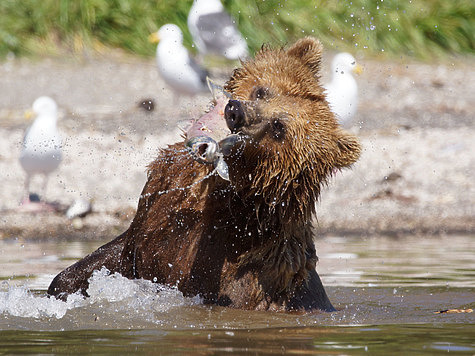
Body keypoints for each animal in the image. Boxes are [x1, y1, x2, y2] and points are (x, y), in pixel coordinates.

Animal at [48, 36, 360, 312]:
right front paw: (63, 286)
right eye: (263, 91)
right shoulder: (159, 204)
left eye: (278, 127)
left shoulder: (223, 254)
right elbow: (116, 253)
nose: (236, 112)